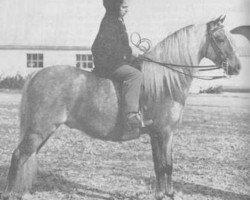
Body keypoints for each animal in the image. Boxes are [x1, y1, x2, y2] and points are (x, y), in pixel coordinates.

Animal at [1, 16, 240, 200]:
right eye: (220, 39)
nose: (237, 67)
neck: (164, 82)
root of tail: (36, 74)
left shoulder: (157, 135)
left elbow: (161, 165)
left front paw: (162, 194)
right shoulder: (165, 133)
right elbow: (166, 165)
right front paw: (168, 194)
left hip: (43, 132)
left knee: (27, 157)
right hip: (38, 131)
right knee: (18, 156)